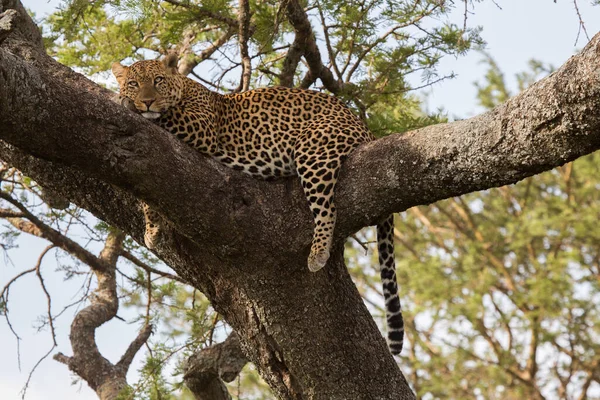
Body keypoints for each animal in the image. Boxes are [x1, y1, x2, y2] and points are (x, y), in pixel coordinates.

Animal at [110, 54, 406, 354]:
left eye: (158, 80)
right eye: (134, 83)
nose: (147, 101)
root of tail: (363, 126)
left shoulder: (201, 126)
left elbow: (166, 116)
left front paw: (124, 102)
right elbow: (148, 193)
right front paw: (152, 229)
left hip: (313, 149)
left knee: (327, 208)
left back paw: (318, 253)